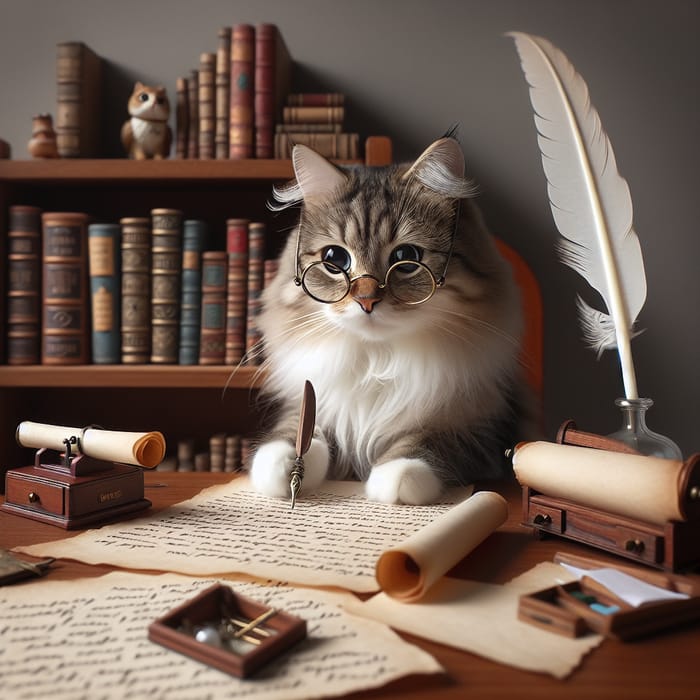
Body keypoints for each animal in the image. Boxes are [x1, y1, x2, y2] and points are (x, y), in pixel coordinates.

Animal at [250, 138, 532, 504]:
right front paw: (284, 466)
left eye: (406, 258)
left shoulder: (483, 428)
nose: (366, 300)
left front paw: (396, 475)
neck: (378, 360)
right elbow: (297, 429)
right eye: (334, 259)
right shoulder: (315, 399)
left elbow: (428, 439)